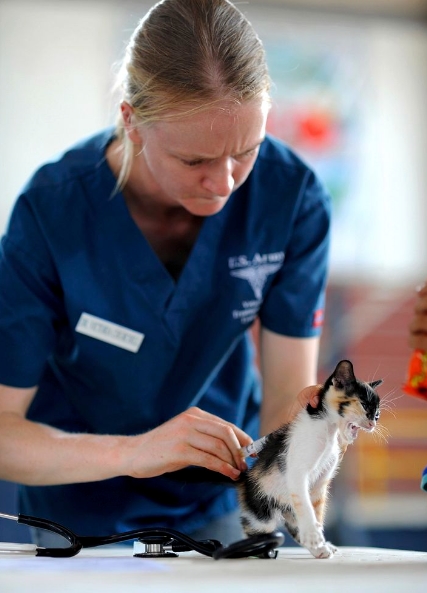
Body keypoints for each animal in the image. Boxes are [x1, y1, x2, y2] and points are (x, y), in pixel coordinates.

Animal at [239, 358, 382, 556]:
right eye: (365, 404)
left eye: (378, 412)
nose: (374, 421)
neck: (328, 429)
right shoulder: (297, 473)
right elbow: (305, 506)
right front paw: (315, 536)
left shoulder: (320, 482)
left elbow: (316, 511)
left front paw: (319, 542)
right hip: (261, 511)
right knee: (257, 530)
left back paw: (317, 549)